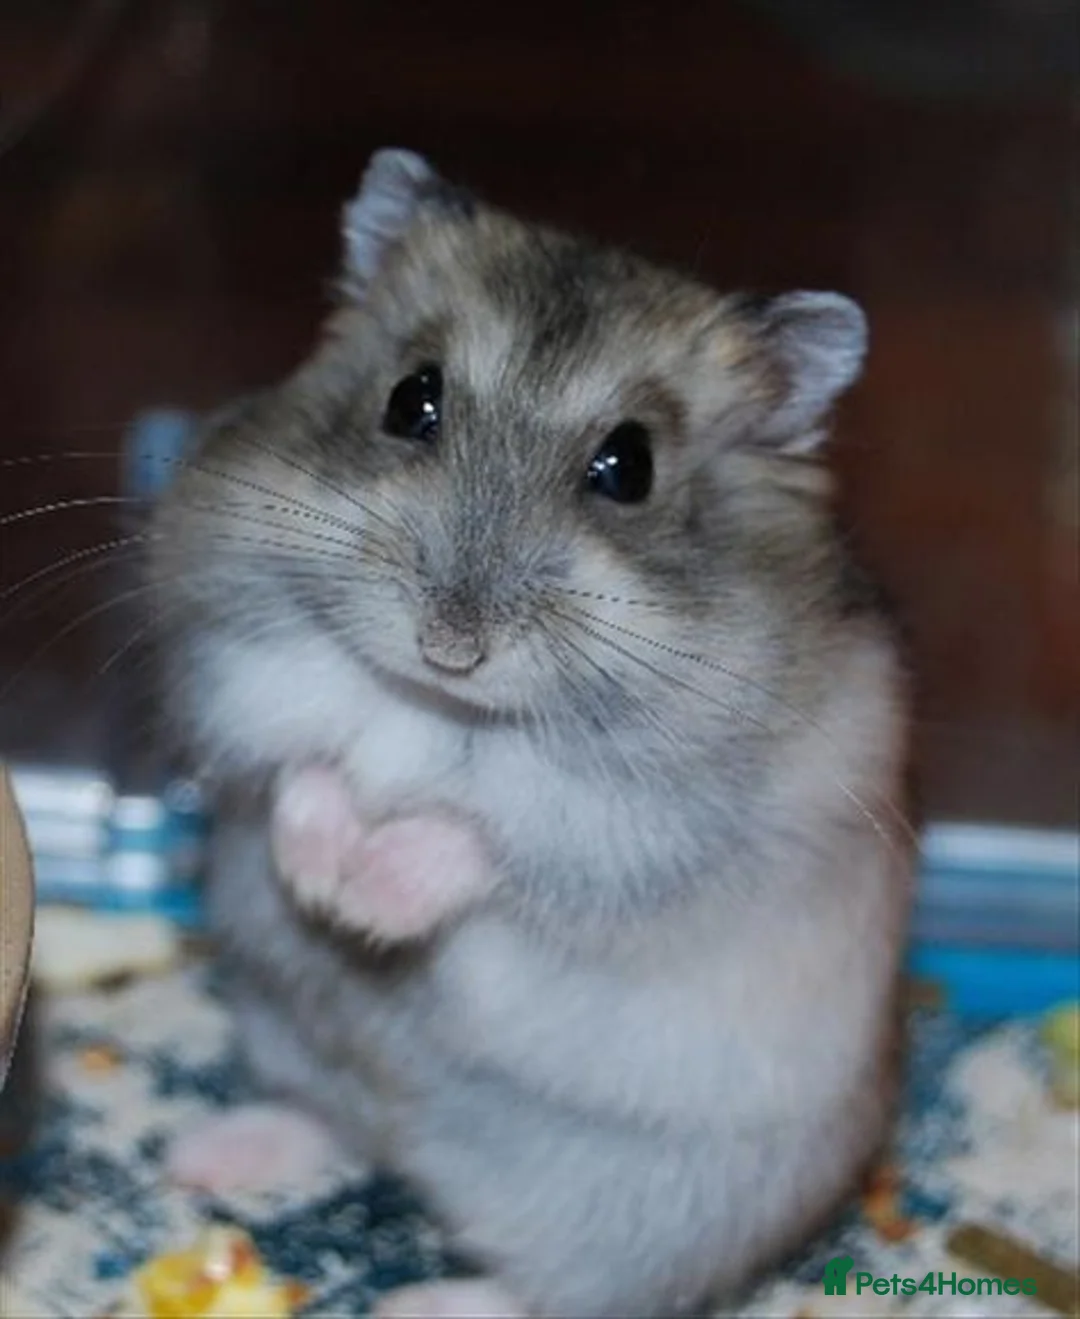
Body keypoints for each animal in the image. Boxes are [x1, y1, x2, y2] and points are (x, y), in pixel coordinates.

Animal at [147, 148, 913, 1318]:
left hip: (667, 1209)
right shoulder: (237, 672)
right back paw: (209, 1153)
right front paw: (322, 882)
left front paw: (366, 898)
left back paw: (412, 1299)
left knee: (561, 1288)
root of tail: (430, 1157)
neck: (442, 711)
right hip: (287, 1029)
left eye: (629, 465)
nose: (447, 642)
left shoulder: (643, 824)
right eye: (411, 400)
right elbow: (304, 764)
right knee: (339, 1123)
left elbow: (490, 827)